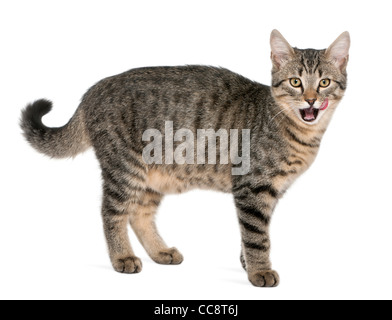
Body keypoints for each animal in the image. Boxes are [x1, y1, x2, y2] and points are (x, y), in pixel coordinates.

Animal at [19, 28, 350, 286]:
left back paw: (159, 252)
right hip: (124, 167)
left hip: (152, 175)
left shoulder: (268, 192)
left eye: (324, 82)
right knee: (111, 212)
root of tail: (93, 90)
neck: (299, 133)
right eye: (295, 82)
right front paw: (259, 271)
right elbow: (257, 235)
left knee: (139, 214)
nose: (311, 100)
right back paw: (122, 256)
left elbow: (252, 232)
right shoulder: (252, 187)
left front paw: (247, 263)